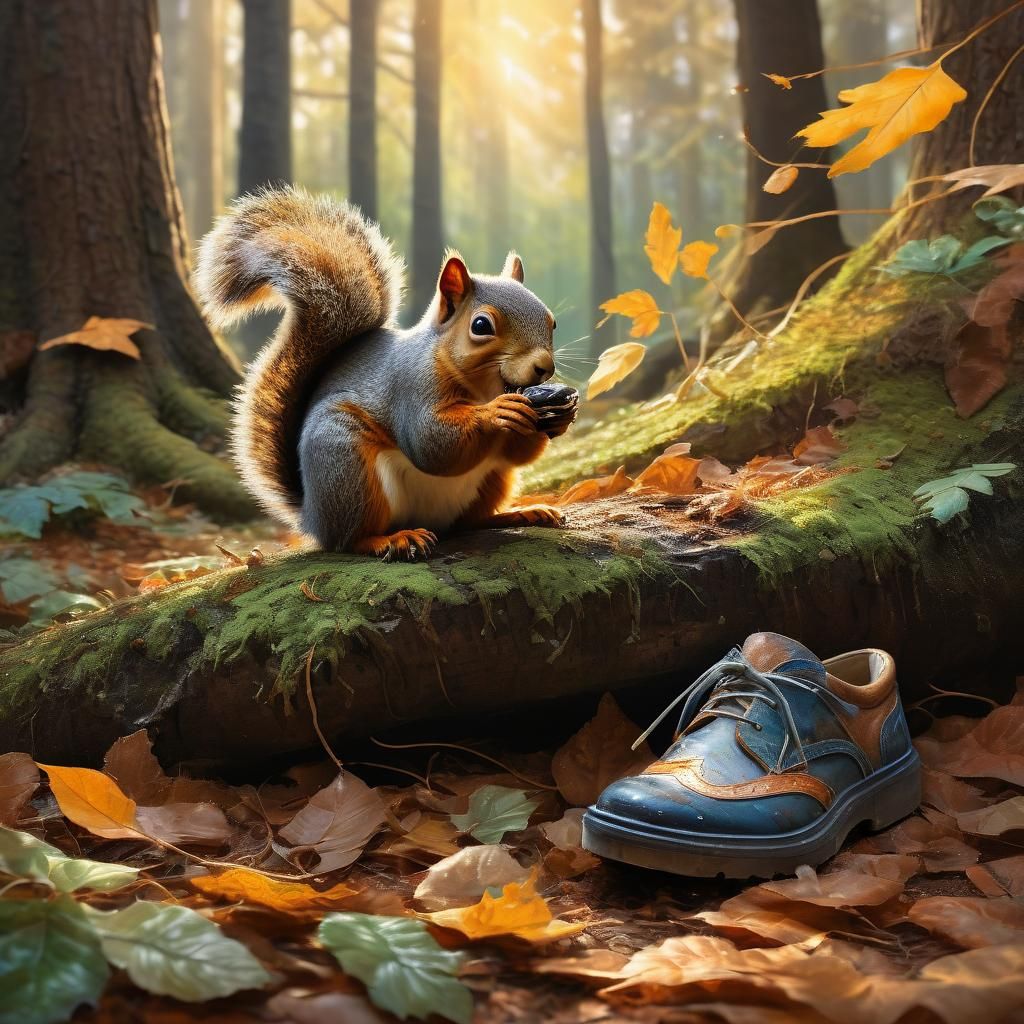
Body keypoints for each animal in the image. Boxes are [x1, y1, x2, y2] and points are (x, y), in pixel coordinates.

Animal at [196, 186, 575, 559]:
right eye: (481, 326)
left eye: (552, 322)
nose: (544, 367)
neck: (482, 388)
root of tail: (312, 516)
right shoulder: (412, 386)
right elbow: (430, 442)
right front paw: (497, 412)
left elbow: (516, 454)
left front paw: (560, 416)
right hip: (348, 468)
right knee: (349, 540)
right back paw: (391, 540)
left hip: (493, 480)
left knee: (471, 522)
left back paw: (521, 512)